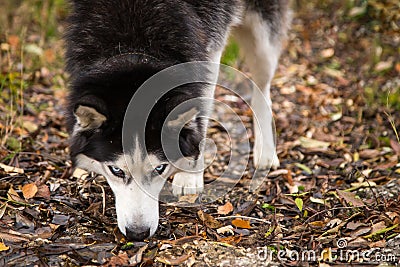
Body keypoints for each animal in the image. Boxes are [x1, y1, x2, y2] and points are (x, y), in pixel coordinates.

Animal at [65, 0, 290, 242]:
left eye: (160, 168)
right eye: (116, 171)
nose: (137, 234)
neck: (134, 45)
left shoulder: (208, 50)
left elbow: (200, 117)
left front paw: (189, 174)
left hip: (262, 38)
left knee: (262, 86)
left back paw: (265, 151)